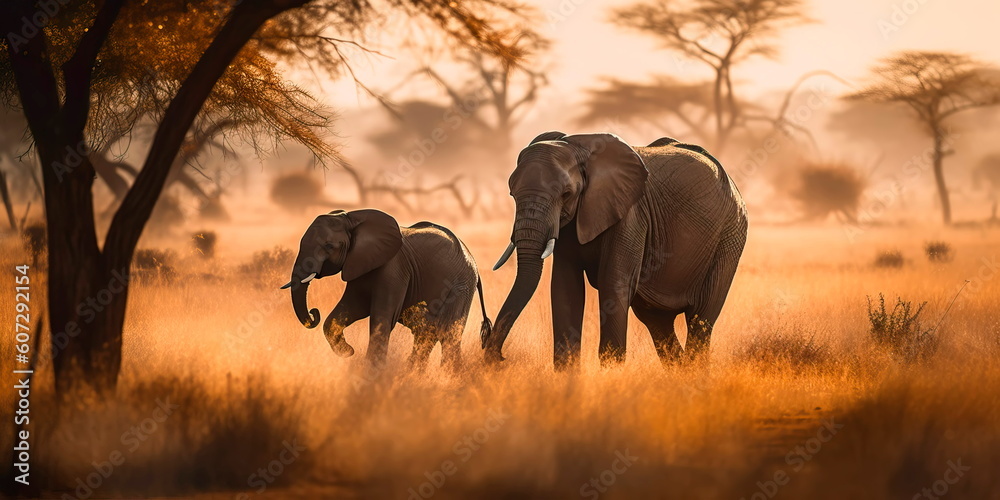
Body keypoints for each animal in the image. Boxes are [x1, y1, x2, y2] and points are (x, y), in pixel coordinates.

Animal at [282, 209, 491, 370]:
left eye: (328, 245)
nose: (313, 312)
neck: (351, 217)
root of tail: (473, 261)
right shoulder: (360, 264)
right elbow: (349, 309)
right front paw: (348, 352)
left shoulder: (394, 268)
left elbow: (382, 318)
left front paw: (370, 373)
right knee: (427, 334)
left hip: (460, 288)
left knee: (448, 336)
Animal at [483, 132, 747, 367]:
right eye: (512, 194)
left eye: (566, 194)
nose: (499, 357)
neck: (575, 145)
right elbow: (565, 288)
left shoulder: (631, 215)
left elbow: (613, 284)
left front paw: (612, 374)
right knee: (657, 322)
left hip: (729, 237)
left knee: (700, 319)